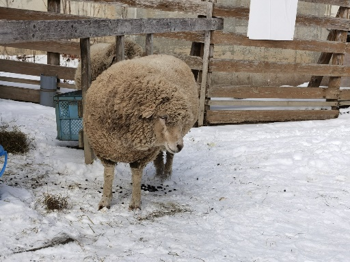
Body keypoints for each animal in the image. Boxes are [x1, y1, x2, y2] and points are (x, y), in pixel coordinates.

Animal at [84, 54, 200, 210]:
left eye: (181, 119)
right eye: (163, 117)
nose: (179, 146)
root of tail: (170, 55)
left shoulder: (140, 156)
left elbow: (136, 177)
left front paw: (135, 204)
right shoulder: (106, 150)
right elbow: (108, 176)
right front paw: (105, 201)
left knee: (170, 155)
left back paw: (166, 173)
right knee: (161, 152)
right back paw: (158, 170)